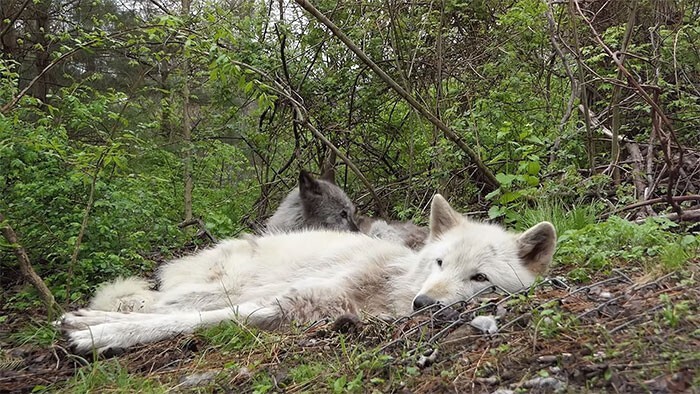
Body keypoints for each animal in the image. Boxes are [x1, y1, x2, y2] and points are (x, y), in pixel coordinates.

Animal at [61, 195, 556, 352]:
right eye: (439, 263)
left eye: (480, 279)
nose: (424, 304)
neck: (389, 288)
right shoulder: (291, 297)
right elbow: (190, 321)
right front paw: (97, 333)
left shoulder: (300, 308)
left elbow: (202, 321)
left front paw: (98, 332)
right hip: (222, 283)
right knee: (163, 304)